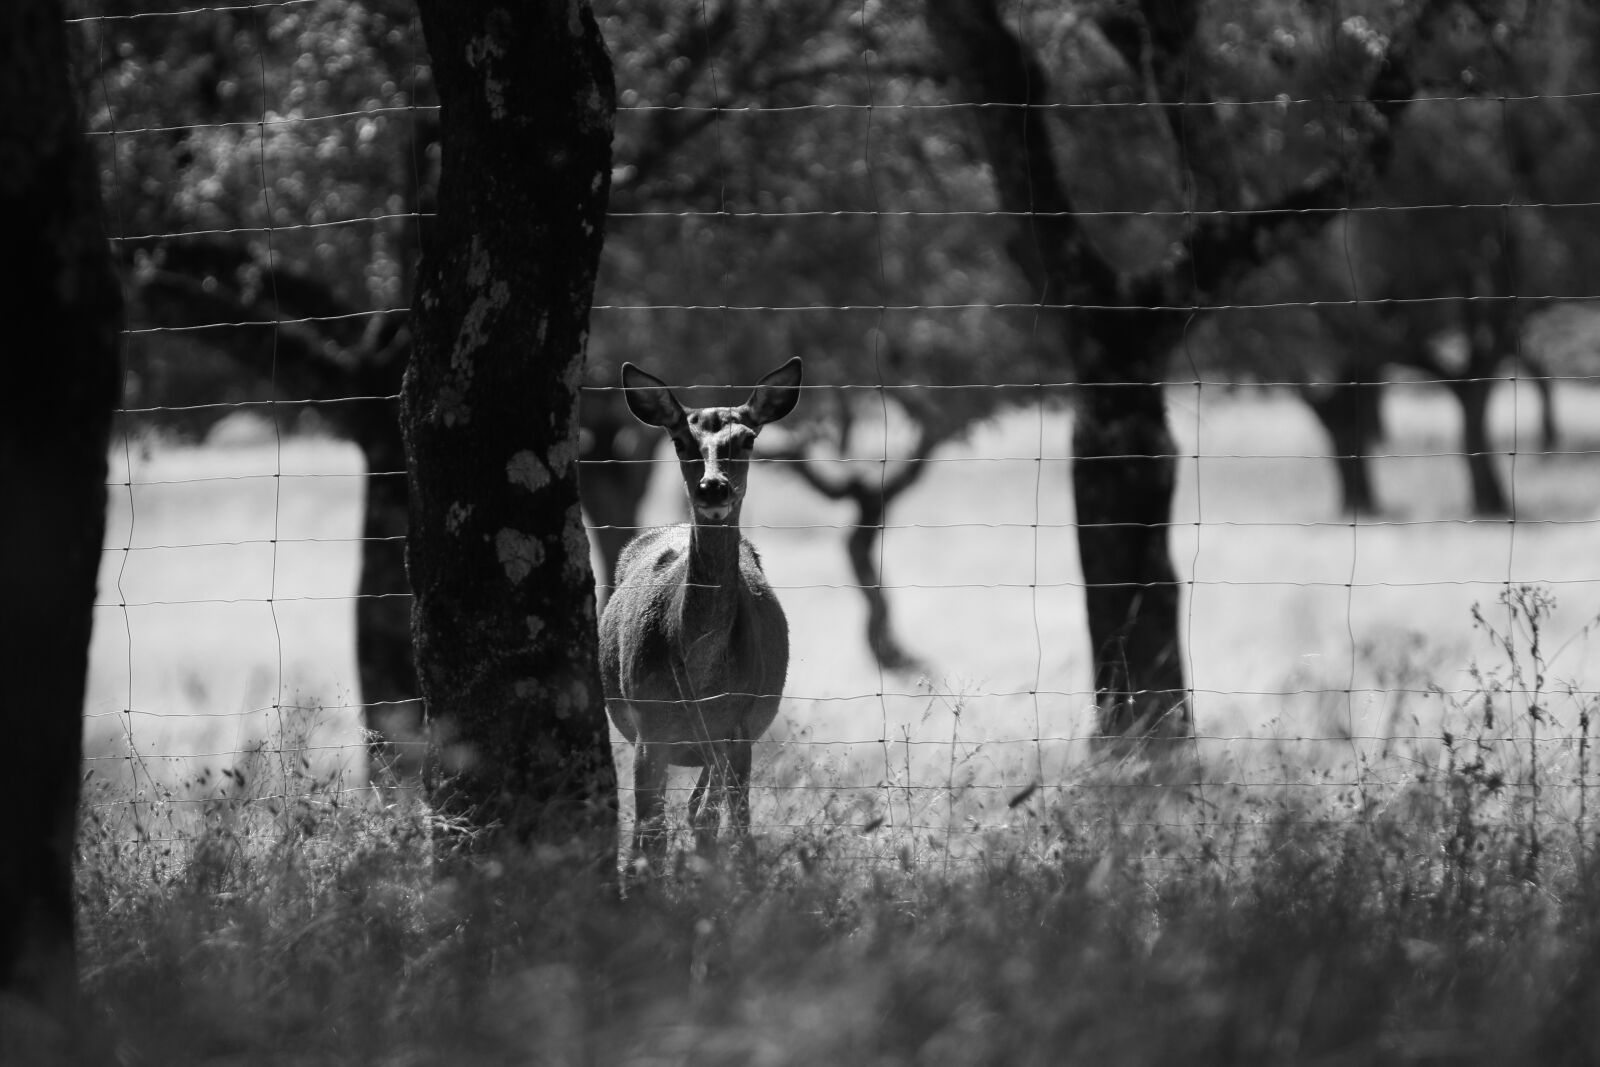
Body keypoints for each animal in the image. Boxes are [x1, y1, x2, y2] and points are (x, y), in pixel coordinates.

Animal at [598, 357, 803, 863]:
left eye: (747, 439)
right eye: (679, 440)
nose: (713, 488)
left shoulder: (740, 726)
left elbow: (736, 824)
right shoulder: (648, 725)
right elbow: (649, 830)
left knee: (703, 814)